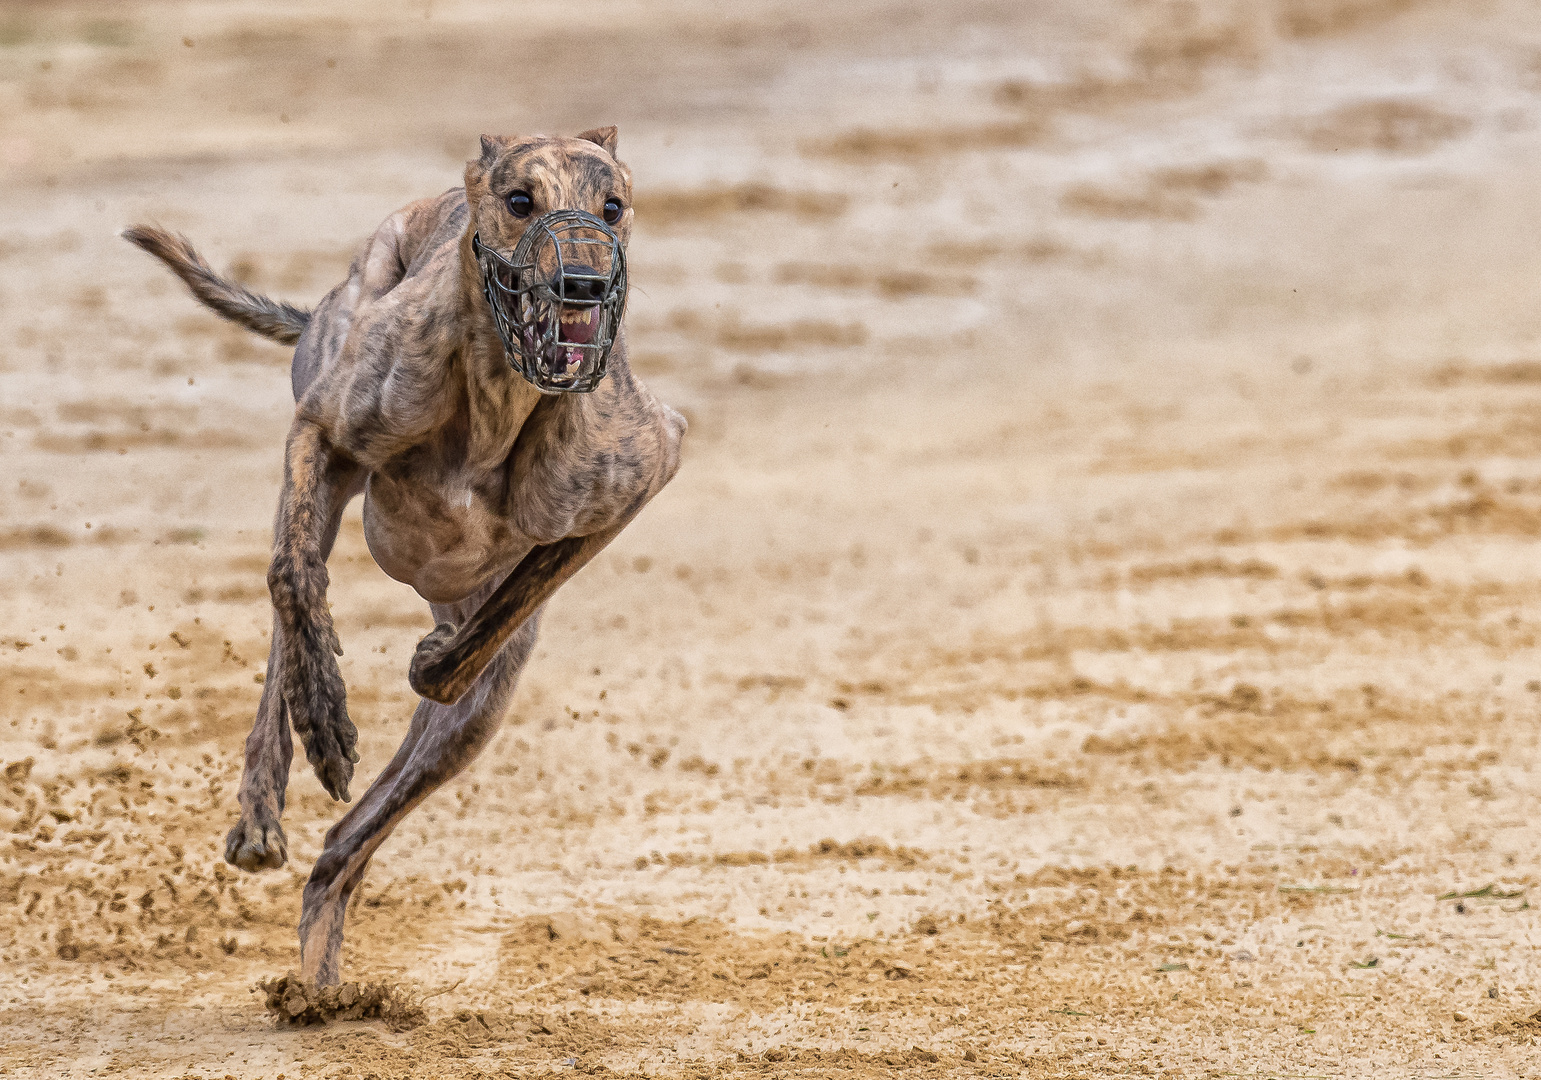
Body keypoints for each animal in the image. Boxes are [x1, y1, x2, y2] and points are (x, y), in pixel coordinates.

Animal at [123, 128, 690, 986]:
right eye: (519, 200)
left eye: (614, 206)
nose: (584, 287)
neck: (497, 401)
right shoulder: (319, 436)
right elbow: (291, 581)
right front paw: (324, 721)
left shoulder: (640, 475)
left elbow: (495, 619)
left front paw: (430, 660)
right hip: (327, 435)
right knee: (289, 618)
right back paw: (264, 804)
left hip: (472, 726)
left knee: (344, 846)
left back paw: (321, 984)